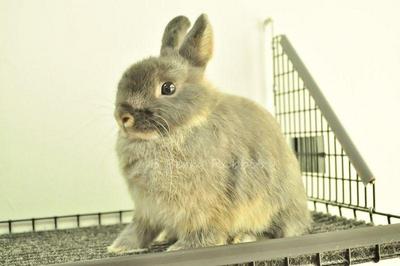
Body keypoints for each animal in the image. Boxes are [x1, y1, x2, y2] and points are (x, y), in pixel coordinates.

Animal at [108, 14, 310, 254]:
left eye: (167, 88)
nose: (122, 116)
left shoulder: (204, 206)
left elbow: (203, 230)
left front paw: (182, 248)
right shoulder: (146, 209)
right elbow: (139, 229)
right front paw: (119, 247)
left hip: (273, 204)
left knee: (276, 231)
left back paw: (244, 237)